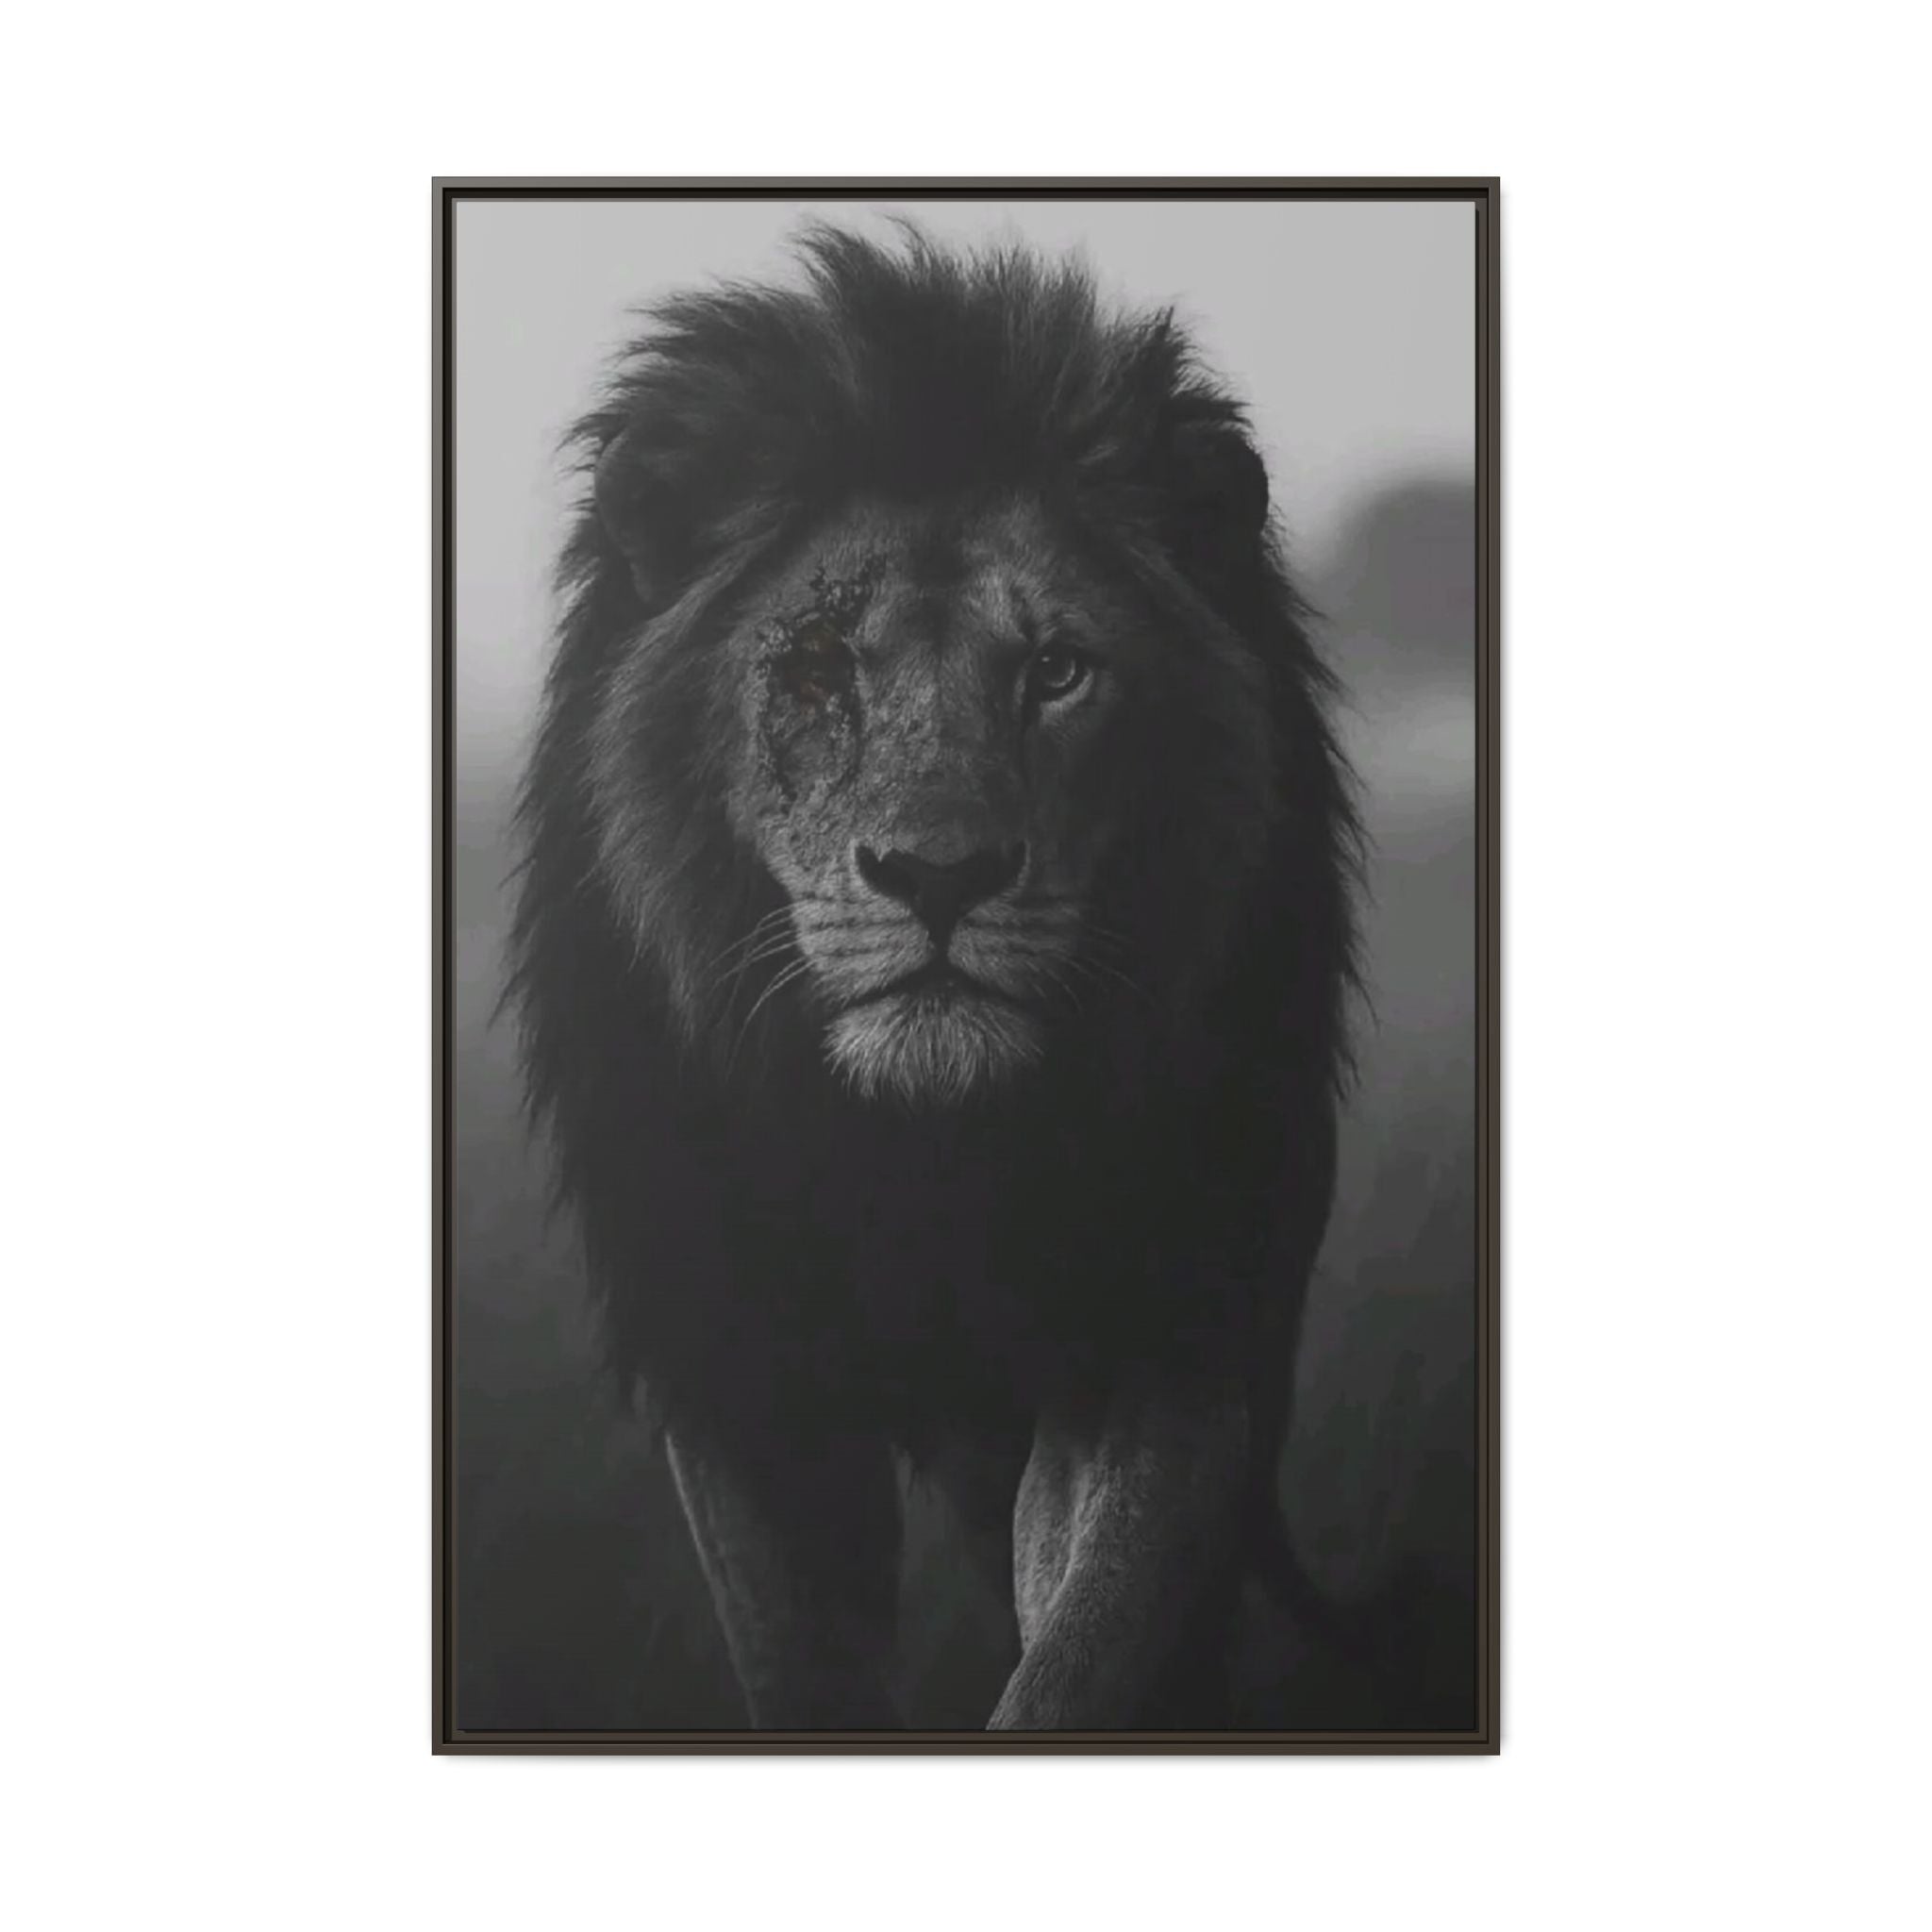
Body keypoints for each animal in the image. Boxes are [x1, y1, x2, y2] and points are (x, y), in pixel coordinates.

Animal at [509, 225, 1358, 1729]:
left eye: (1059, 671)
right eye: (815, 667)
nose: (940, 874)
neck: (924, 1155)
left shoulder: (1158, 1332)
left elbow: (1085, 1650)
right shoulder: (740, 1370)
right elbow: (803, 1675)